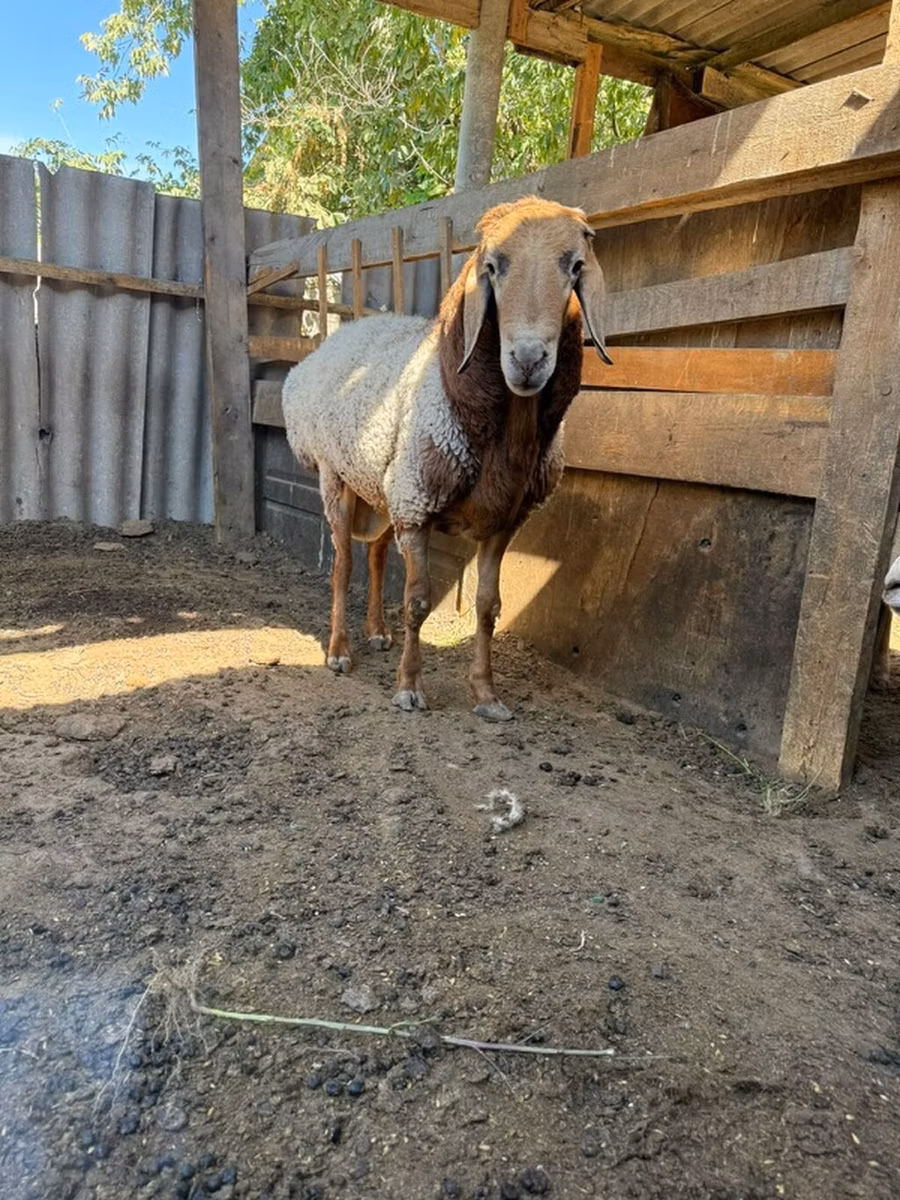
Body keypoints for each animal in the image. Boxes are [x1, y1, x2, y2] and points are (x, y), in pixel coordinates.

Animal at [282, 195, 610, 720]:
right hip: (337, 478)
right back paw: (339, 650)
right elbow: (417, 602)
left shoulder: (502, 521)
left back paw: (377, 632)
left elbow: (488, 607)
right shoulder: (417, 509)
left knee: (375, 554)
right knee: (342, 565)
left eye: (575, 266)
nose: (528, 360)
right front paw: (409, 688)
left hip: (384, 489)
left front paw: (487, 694)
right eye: (492, 266)